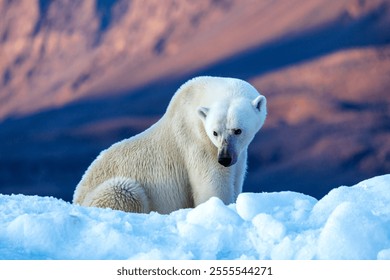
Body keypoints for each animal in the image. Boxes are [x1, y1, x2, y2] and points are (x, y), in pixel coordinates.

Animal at [72, 75, 266, 213]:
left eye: (238, 130)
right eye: (215, 132)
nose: (224, 158)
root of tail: (77, 198)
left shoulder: (238, 153)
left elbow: (236, 177)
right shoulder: (198, 143)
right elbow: (212, 185)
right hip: (109, 191)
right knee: (125, 190)